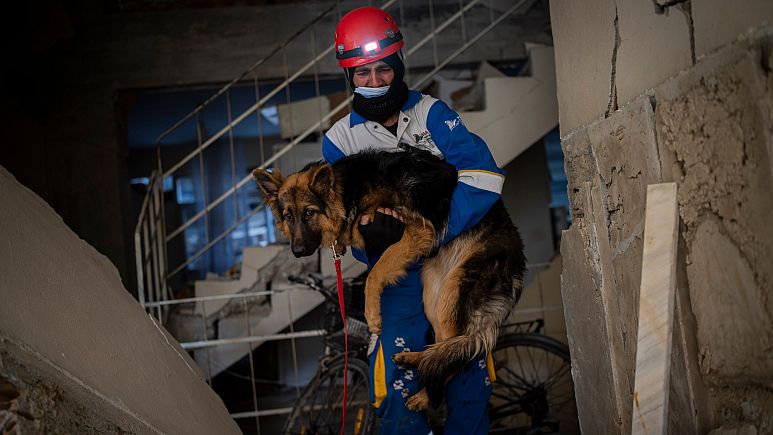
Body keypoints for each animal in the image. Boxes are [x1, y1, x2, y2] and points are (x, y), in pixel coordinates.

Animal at [253, 149, 524, 408]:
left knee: (455, 357)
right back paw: (415, 358)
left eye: (309, 213)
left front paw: (372, 315)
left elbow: (375, 273)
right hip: (434, 294)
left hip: (453, 292)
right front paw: (339, 243)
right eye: (288, 216)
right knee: (445, 348)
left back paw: (424, 396)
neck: (348, 191)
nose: (297, 251)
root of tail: (518, 264)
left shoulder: (415, 230)